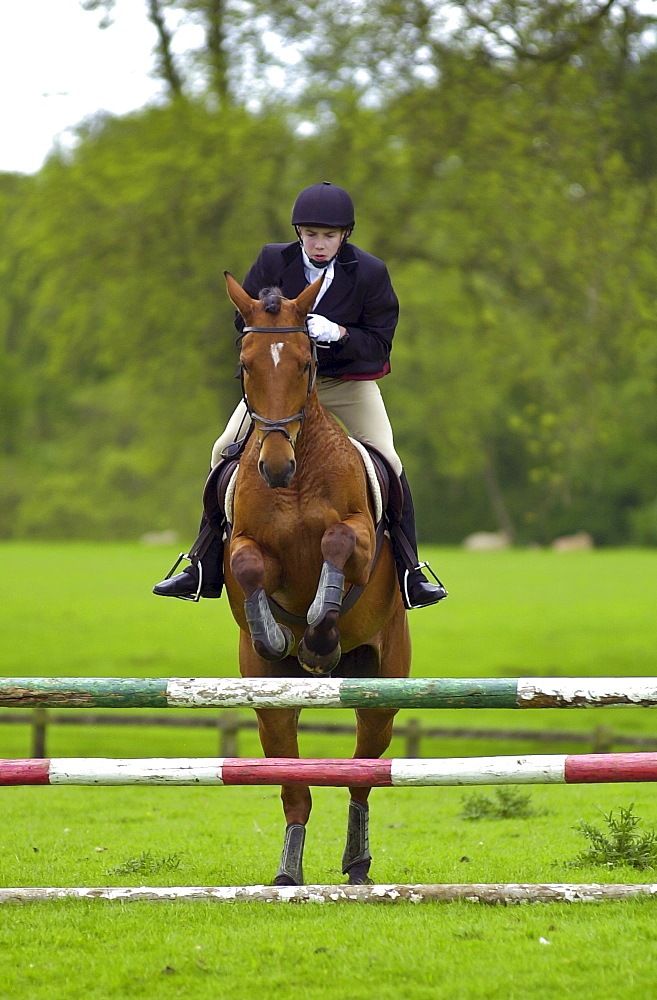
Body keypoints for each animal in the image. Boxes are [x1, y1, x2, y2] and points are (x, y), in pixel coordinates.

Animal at [220, 272, 410, 884]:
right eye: (246, 364)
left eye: (307, 362)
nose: (275, 466)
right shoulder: (243, 546)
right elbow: (249, 565)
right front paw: (277, 633)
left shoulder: (361, 540)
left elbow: (337, 543)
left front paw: (319, 638)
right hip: (269, 701)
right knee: (294, 783)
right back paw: (288, 870)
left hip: (382, 685)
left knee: (362, 775)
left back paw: (358, 861)